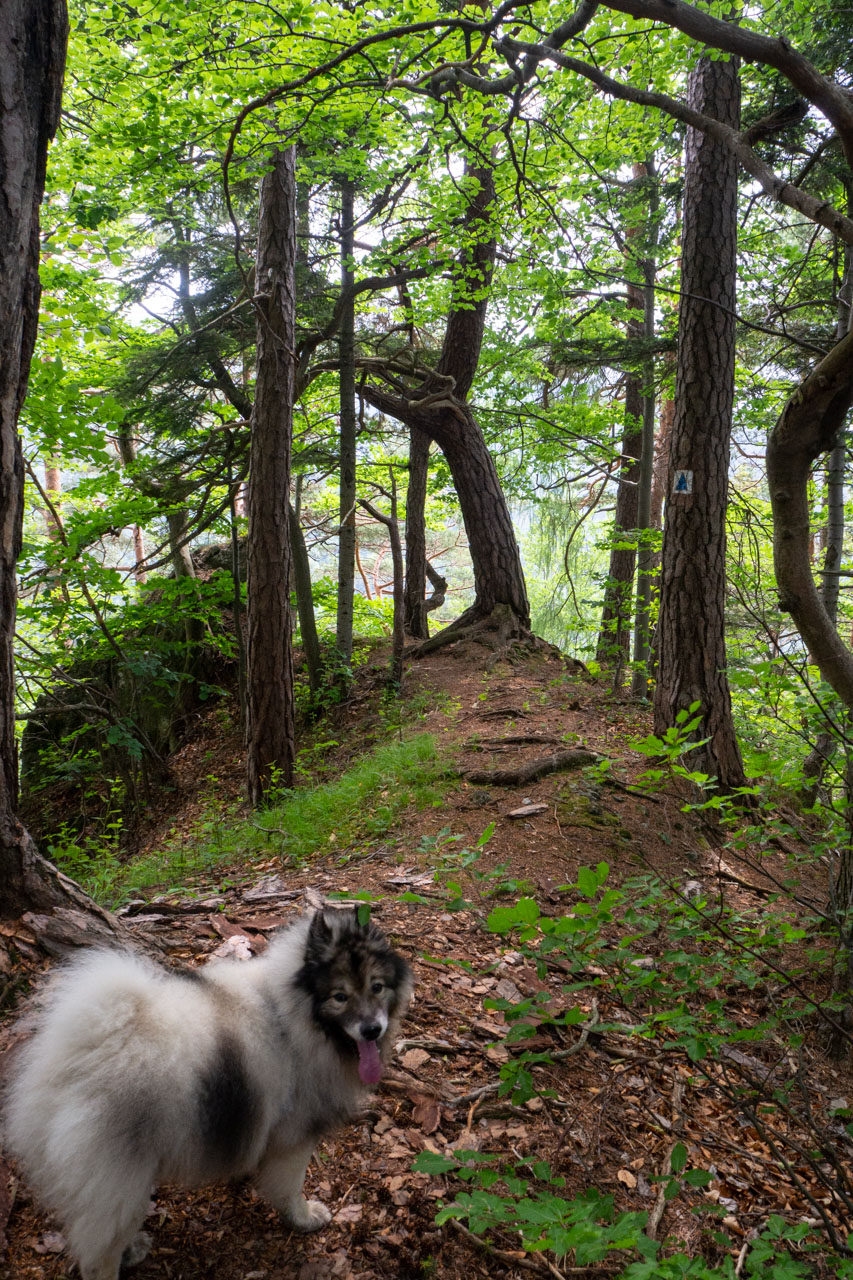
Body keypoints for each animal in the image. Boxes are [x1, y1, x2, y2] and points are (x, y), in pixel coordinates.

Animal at [0, 906, 412, 1274]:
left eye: (377, 987)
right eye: (340, 997)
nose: (372, 1029)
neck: (290, 1013)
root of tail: (80, 1055)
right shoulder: (294, 1138)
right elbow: (288, 1189)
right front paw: (303, 1217)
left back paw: (132, 1249)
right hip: (120, 1176)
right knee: (97, 1254)